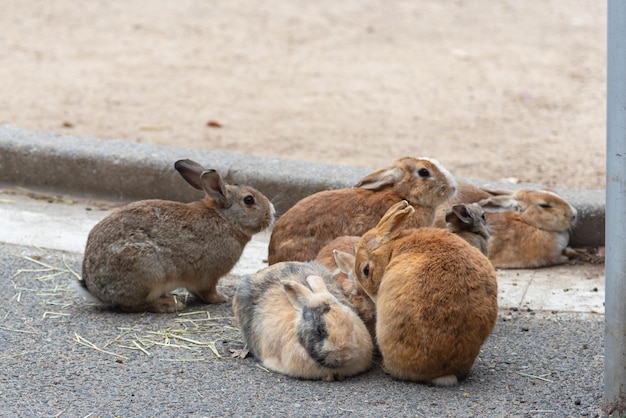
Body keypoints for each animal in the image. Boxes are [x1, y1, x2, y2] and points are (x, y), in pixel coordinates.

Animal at [77, 158, 272, 312]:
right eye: (249, 200)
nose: (272, 213)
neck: (225, 219)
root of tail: (94, 288)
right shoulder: (208, 276)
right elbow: (207, 292)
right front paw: (221, 298)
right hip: (147, 268)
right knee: (131, 305)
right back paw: (169, 304)